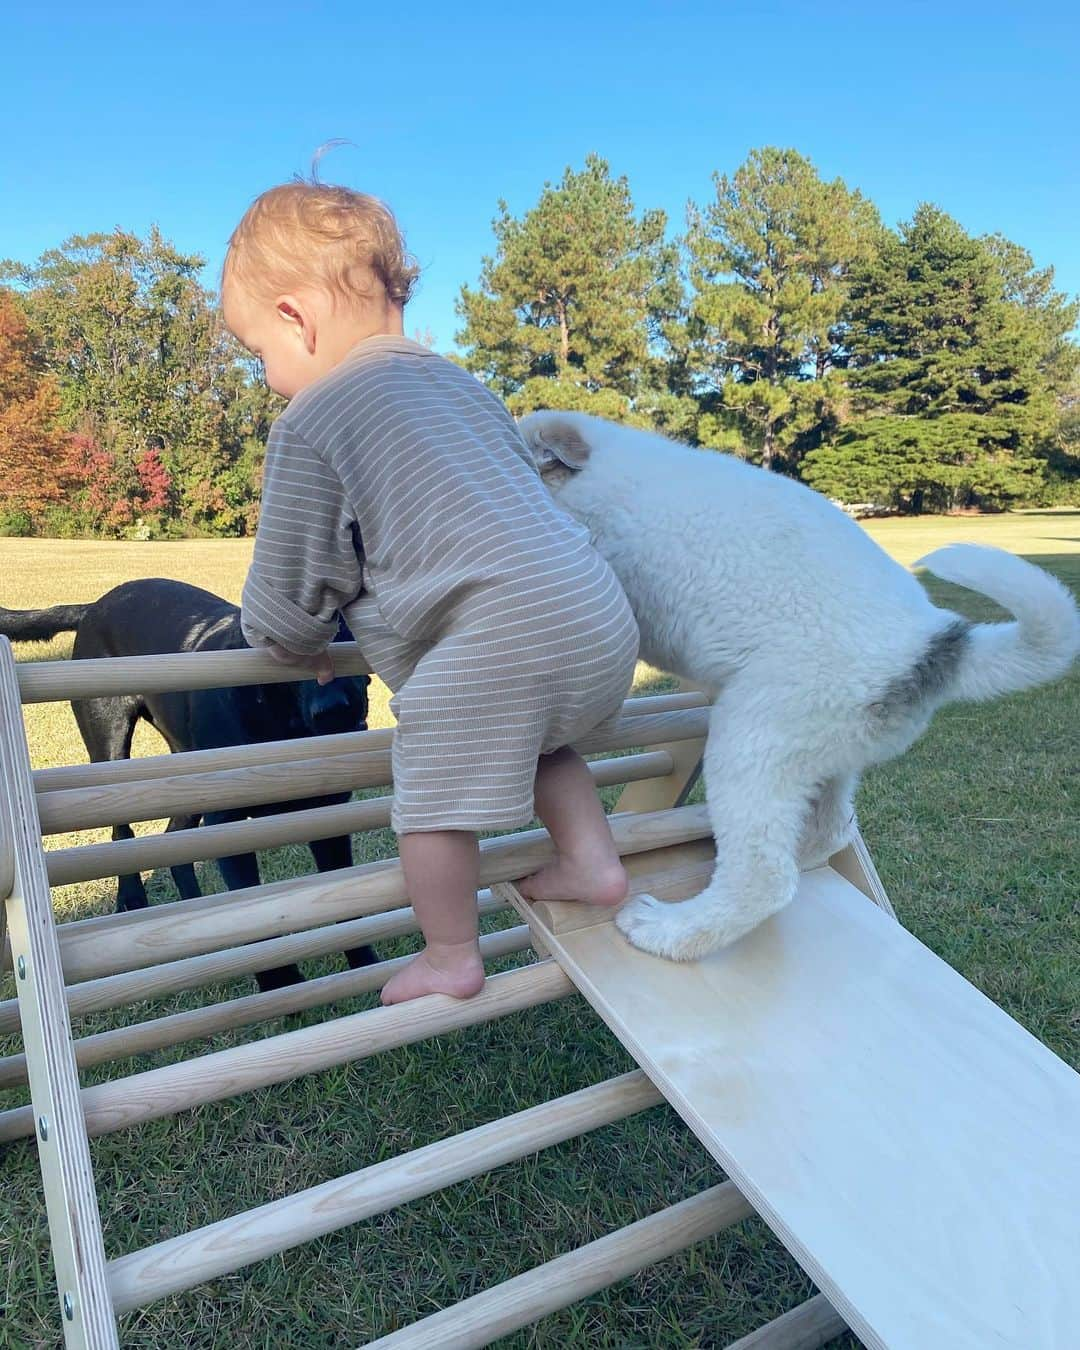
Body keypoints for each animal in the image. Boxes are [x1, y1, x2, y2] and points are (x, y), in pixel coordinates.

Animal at [1, 575, 375, 988]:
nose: (335, 710)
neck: (279, 715)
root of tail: (94, 606)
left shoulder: (328, 820)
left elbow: (347, 905)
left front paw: (367, 966)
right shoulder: (227, 825)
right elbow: (253, 915)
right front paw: (281, 984)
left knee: (175, 840)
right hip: (109, 743)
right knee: (121, 832)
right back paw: (132, 899)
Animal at [518, 407, 1074, 961]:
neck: (597, 470)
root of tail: (935, 648)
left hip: (753, 740)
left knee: (764, 879)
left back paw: (666, 930)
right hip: (823, 753)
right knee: (829, 829)